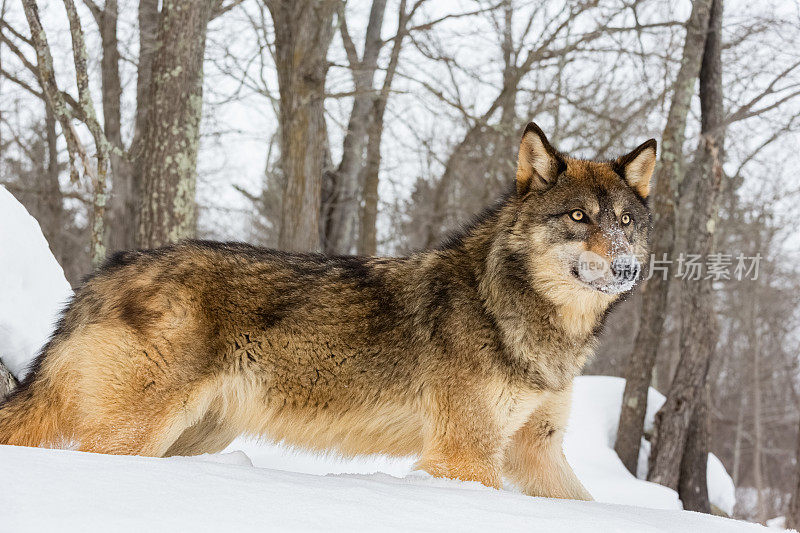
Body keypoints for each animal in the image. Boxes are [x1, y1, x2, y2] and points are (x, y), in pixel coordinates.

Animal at [0, 122, 652, 500]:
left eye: (625, 222)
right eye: (578, 217)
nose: (628, 268)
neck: (516, 312)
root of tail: (103, 275)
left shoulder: (535, 450)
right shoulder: (465, 457)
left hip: (194, 437)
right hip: (134, 435)